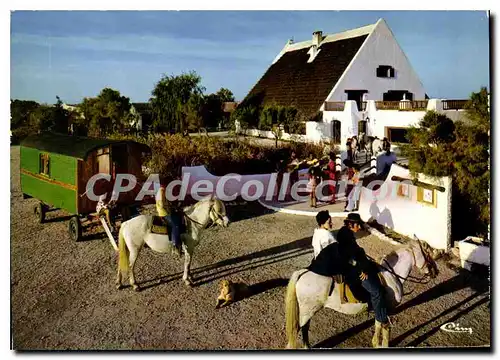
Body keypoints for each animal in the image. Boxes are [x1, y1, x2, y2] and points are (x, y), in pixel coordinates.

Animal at [286, 239, 442, 348]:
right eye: (428, 254)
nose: (436, 272)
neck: (392, 274)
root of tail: (303, 272)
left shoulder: (380, 307)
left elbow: (378, 324)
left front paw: (376, 343)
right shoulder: (386, 308)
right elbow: (385, 328)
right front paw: (383, 345)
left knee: (304, 328)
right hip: (307, 311)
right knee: (300, 329)